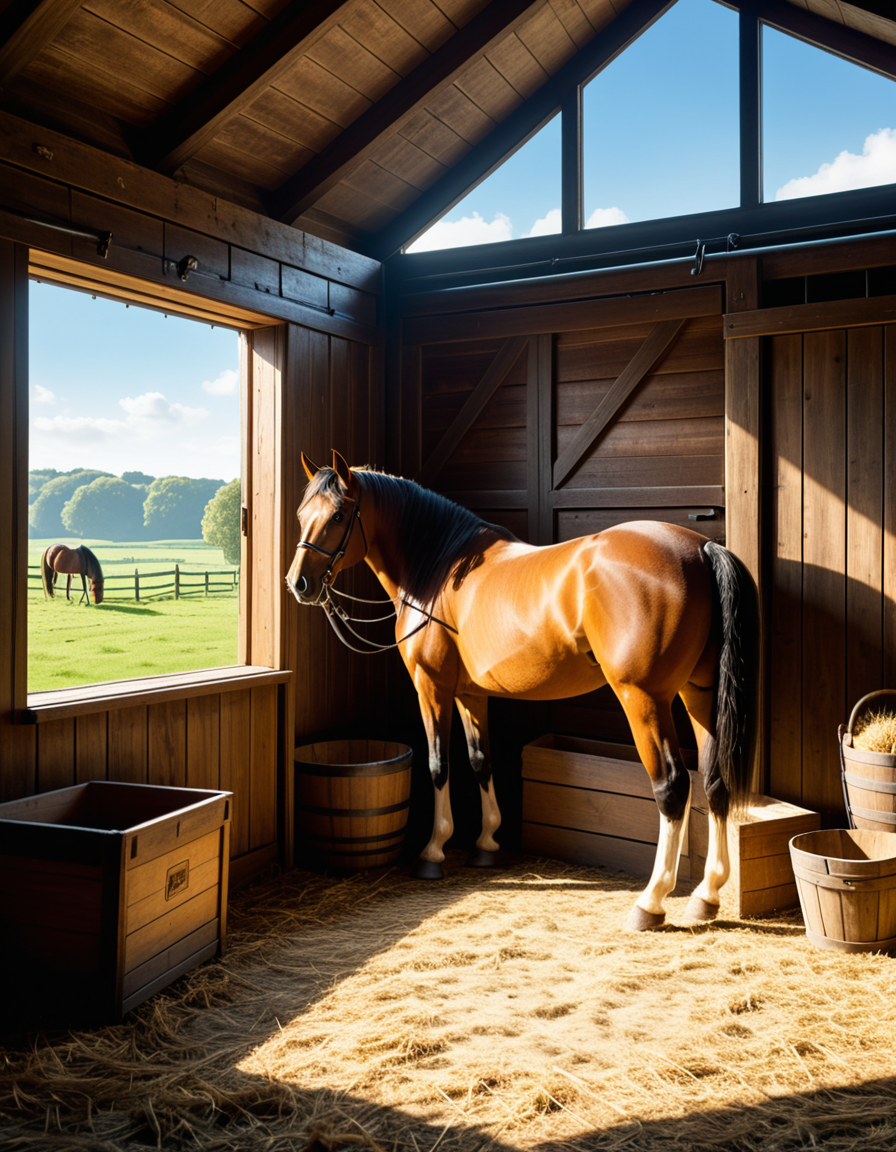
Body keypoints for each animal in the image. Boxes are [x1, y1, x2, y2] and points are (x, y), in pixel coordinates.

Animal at [287, 451, 757, 931]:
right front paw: (486, 844)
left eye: (339, 514)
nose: (298, 583)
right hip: (699, 694)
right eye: (303, 514)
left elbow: (438, 765)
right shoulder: (470, 694)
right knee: (714, 781)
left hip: (643, 699)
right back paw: (706, 895)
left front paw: (433, 851)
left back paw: (651, 902)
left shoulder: (431, 685)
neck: (438, 570)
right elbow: (480, 761)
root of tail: (700, 548)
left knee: (673, 787)